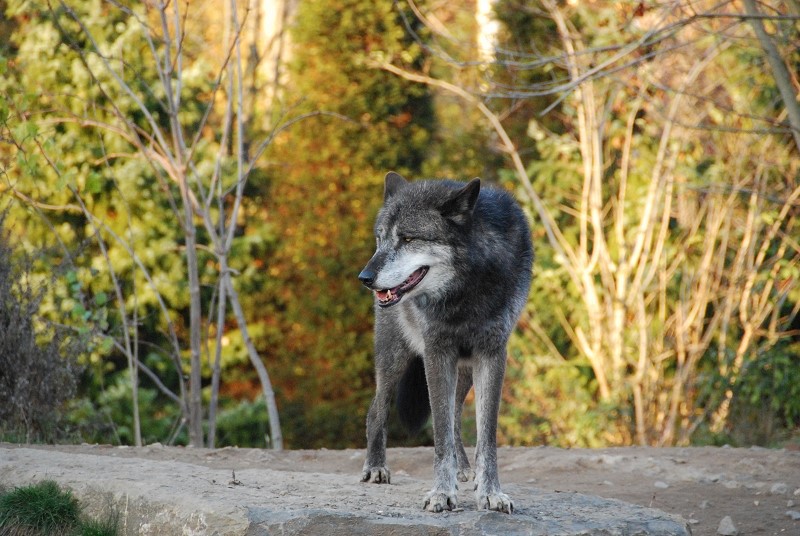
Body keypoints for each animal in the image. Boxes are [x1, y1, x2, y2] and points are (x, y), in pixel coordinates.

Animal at [356, 174, 532, 512]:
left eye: (408, 239)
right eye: (380, 239)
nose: (365, 277)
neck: (467, 289)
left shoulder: (492, 354)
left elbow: (486, 436)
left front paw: (490, 493)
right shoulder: (436, 351)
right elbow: (439, 433)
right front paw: (441, 492)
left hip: (463, 369)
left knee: (456, 417)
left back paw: (464, 469)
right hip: (395, 358)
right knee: (376, 411)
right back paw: (375, 467)